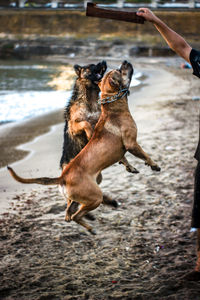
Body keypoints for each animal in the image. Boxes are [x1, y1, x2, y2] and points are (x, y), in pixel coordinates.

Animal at [7, 60, 160, 234]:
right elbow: (144, 154)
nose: (125, 62)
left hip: (80, 196)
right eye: (120, 71)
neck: (112, 107)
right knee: (75, 215)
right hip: (94, 196)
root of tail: (63, 177)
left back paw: (88, 224)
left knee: (69, 213)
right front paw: (154, 165)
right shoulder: (131, 143)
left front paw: (131, 167)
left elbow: (125, 157)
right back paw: (91, 226)